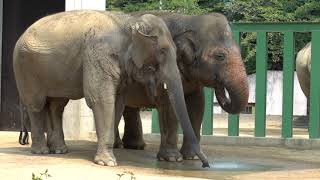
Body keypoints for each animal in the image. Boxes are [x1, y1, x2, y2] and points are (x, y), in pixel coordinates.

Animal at [12, 10, 209, 167]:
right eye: (162, 51)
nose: (205, 164)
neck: (129, 22)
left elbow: (118, 102)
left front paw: (106, 157)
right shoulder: (98, 53)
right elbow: (101, 99)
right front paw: (108, 163)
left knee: (57, 105)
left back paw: (60, 150)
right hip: (25, 68)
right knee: (36, 105)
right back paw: (41, 151)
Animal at [115, 10, 250, 160]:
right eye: (220, 56)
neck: (189, 20)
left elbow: (197, 105)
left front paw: (191, 157)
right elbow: (169, 107)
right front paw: (172, 159)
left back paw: (135, 146)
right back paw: (119, 146)